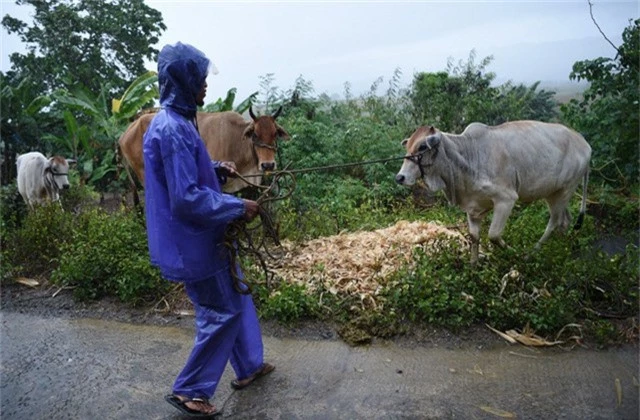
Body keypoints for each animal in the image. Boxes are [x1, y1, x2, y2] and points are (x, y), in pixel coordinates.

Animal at [398, 120, 592, 262]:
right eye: (408, 147)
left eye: (422, 147)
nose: (400, 177)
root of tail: (584, 144)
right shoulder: (473, 207)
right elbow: (474, 236)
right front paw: (473, 266)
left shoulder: (506, 199)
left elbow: (493, 235)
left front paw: (512, 253)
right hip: (555, 193)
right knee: (565, 221)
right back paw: (561, 249)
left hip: (565, 190)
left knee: (554, 222)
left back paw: (532, 253)